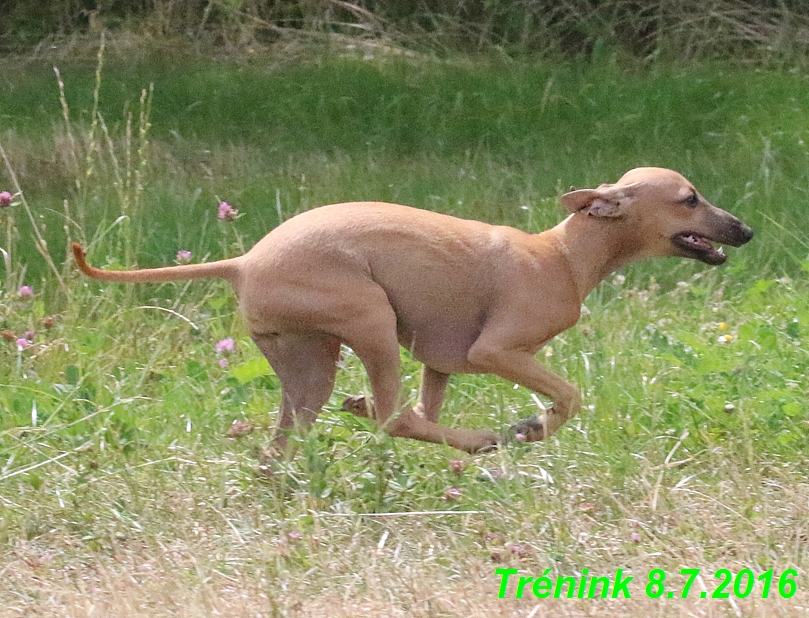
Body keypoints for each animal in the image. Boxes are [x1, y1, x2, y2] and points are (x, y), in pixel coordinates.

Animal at [72, 168, 756, 452]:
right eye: (690, 198)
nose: (746, 230)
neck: (561, 254)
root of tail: (245, 261)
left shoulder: (440, 362)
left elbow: (435, 402)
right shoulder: (495, 351)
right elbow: (566, 396)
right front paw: (532, 425)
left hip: (308, 366)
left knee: (305, 438)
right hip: (371, 322)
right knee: (394, 417)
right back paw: (488, 438)